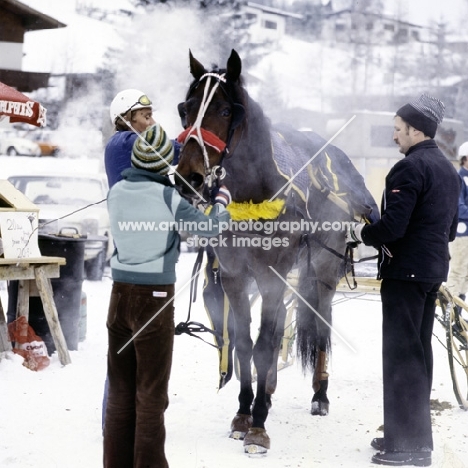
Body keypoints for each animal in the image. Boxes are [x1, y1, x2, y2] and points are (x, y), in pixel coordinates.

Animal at [174, 48, 378, 454]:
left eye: (225, 111)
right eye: (185, 109)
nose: (188, 176)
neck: (256, 193)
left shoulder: (272, 276)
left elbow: (265, 345)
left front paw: (259, 425)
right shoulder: (236, 277)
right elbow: (243, 345)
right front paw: (244, 413)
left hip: (322, 271)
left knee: (320, 324)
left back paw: (320, 394)